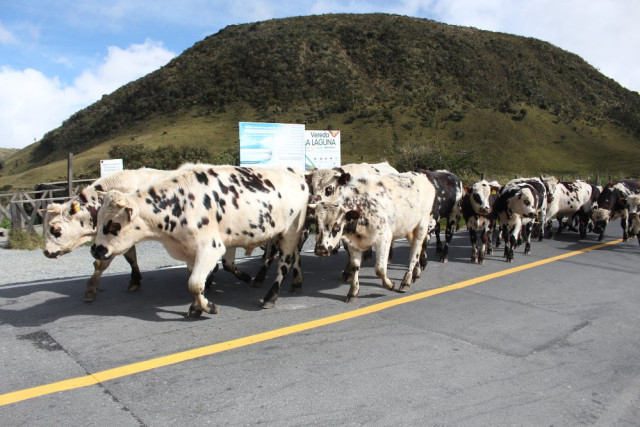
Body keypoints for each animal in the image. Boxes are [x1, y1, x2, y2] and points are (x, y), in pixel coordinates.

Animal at [91, 164, 308, 318]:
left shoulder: (210, 248)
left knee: (285, 263)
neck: (177, 204)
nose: (95, 250)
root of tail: (296, 172)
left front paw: (209, 307)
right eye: (98, 219)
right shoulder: (190, 252)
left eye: (113, 225)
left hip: (291, 232)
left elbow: (194, 282)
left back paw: (270, 297)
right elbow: (196, 281)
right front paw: (196, 307)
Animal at [308, 172, 436, 302]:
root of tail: (421, 175)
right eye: (317, 224)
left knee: (415, 251)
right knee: (418, 248)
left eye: (336, 227)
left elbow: (379, 269)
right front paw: (353, 292)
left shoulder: (384, 239)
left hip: (422, 224)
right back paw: (416, 273)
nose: (320, 249)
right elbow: (355, 266)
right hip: (408, 229)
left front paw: (390, 285)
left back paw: (406, 281)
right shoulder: (353, 244)